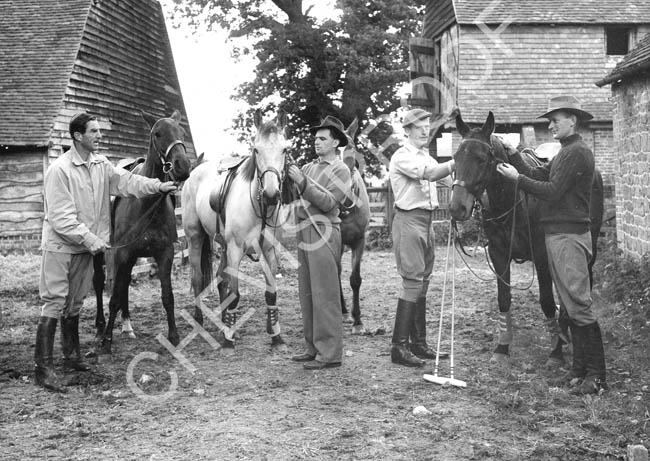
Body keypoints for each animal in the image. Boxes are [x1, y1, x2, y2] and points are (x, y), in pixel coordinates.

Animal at [97, 109, 190, 354]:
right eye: (157, 133)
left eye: (182, 132)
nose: (182, 166)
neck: (147, 203)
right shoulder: (121, 254)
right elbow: (114, 297)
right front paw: (107, 341)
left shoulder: (164, 253)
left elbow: (167, 296)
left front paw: (174, 336)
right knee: (100, 285)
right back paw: (100, 328)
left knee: (125, 286)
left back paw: (127, 326)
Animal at [448, 109, 600, 364]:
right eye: (456, 158)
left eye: (481, 159)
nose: (457, 208)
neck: (512, 200)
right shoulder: (499, 255)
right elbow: (504, 299)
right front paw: (502, 348)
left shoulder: (542, 255)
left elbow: (547, 301)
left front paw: (556, 351)